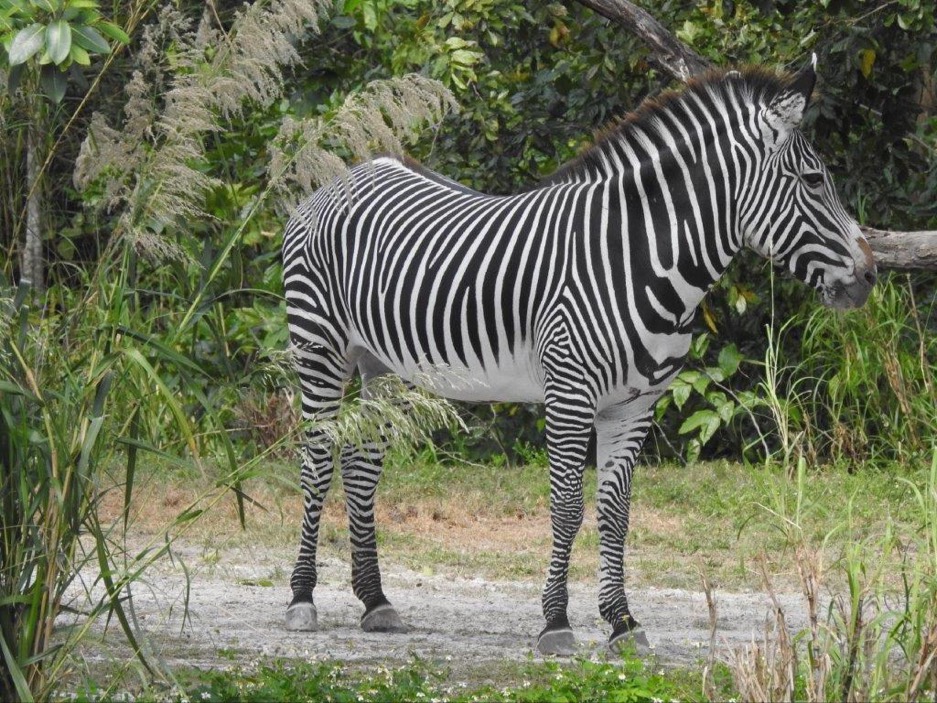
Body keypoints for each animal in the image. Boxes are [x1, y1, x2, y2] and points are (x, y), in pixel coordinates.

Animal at [281, 58, 876, 655]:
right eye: (814, 180)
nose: (870, 276)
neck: (638, 258)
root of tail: (347, 175)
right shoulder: (569, 391)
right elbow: (567, 508)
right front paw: (556, 621)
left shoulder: (636, 404)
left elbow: (616, 514)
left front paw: (622, 622)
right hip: (320, 345)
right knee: (316, 462)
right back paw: (302, 598)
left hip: (382, 361)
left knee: (361, 463)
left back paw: (375, 600)